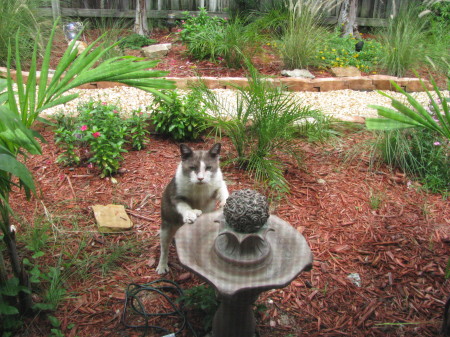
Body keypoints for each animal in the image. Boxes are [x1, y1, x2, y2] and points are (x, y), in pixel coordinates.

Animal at [157, 142, 229, 272]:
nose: (200, 178)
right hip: (166, 224)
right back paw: (162, 266)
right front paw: (191, 214)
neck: (199, 189)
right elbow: (183, 205)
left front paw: (227, 202)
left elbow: (222, 190)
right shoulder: (175, 196)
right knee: (164, 247)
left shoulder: (217, 185)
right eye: (192, 168)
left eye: (208, 167)